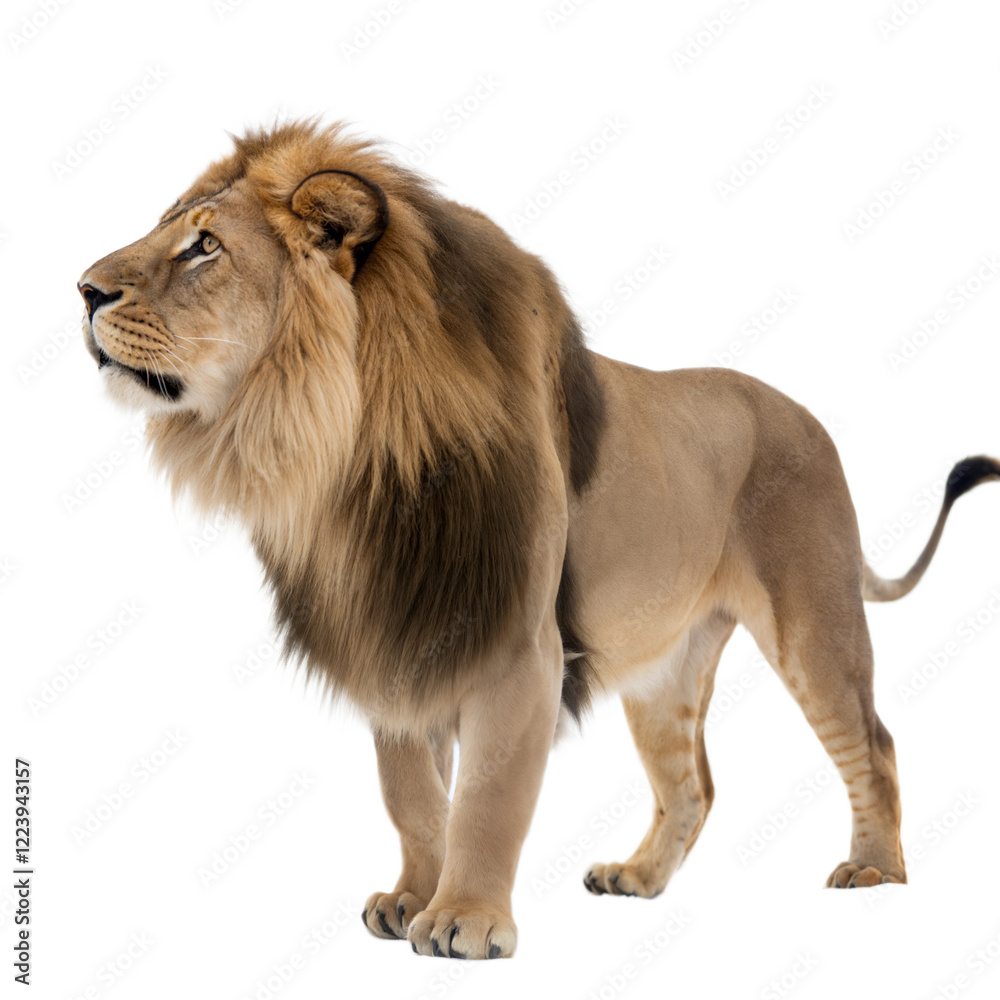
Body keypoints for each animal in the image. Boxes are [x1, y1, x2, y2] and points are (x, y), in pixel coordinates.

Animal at [78, 120, 999, 959]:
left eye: (203, 247)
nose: (83, 291)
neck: (348, 455)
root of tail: (809, 417)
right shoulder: (395, 635)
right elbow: (413, 794)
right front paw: (411, 898)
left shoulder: (520, 647)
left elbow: (486, 798)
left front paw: (463, 921)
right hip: (665, 668)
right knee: (693, 784)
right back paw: (637, 878)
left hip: (812, 618)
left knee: (873, 742)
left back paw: (875, 871)